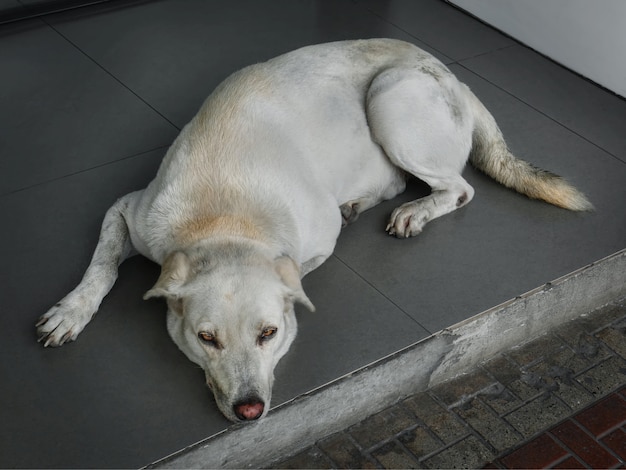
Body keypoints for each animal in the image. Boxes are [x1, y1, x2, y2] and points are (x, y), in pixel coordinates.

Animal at [35, 39, 588, 422]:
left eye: (269, 334)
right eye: (206, 338)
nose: (250, 410)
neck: (224, 217)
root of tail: (456, 77)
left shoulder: (314, 243)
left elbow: (298, 272)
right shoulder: (128, 212)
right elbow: (102, 266)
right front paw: (72, 311)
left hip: (391, 97)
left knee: (458, 188)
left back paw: (415, 210)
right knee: (398, 180)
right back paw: (363, 202)